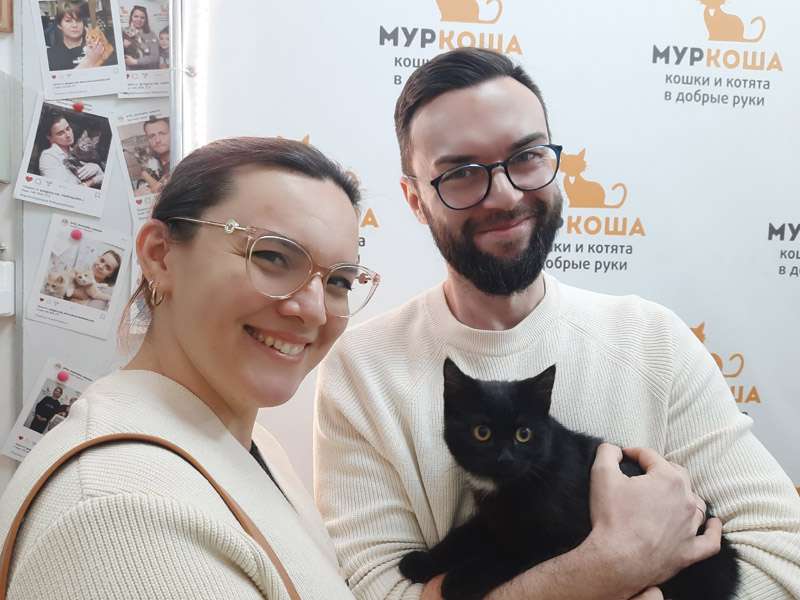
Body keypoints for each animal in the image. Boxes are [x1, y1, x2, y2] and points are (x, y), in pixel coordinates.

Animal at [398, 359, 740, 600]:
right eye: (481, 432)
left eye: (524, 434)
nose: (505, 459)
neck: (513, 486)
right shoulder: (494, 518)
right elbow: (463, 536)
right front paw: (422, 562)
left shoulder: (563, 534)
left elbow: (509, 553)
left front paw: (459, 581)